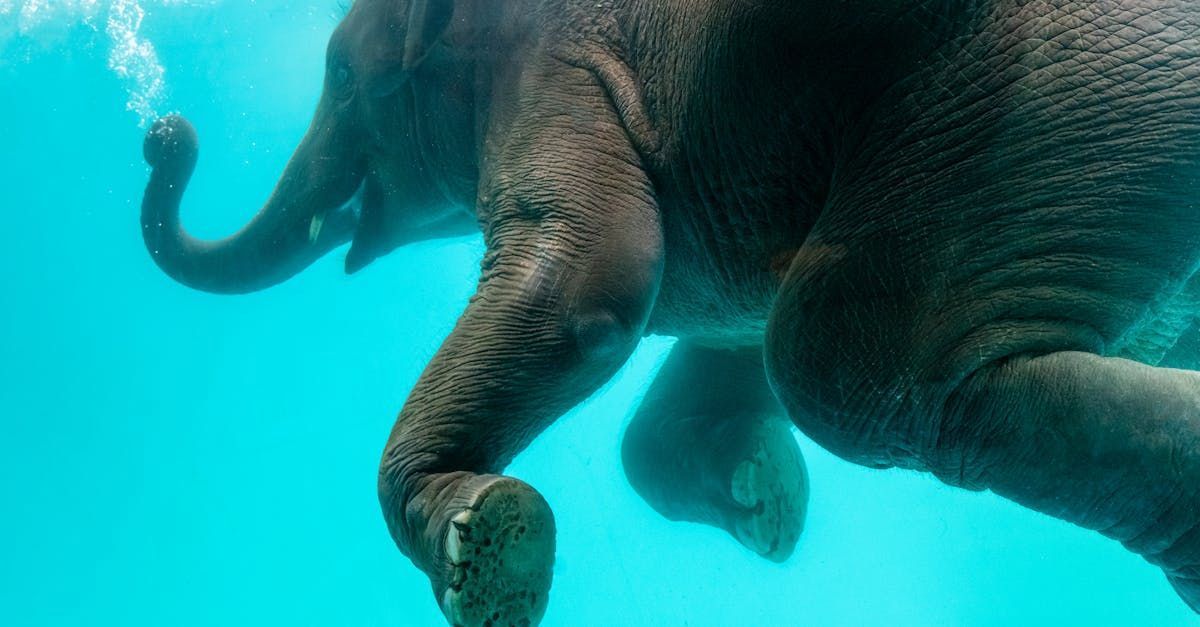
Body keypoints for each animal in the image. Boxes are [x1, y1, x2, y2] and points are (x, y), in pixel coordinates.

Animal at [138, 0, 1200, 625]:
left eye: (343, 75)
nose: (163, 132)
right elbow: (706, 353)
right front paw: (767, 501)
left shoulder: (558, 76)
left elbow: (596, 282)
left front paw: (487, 543)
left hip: (1058, 92)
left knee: (851, 362)